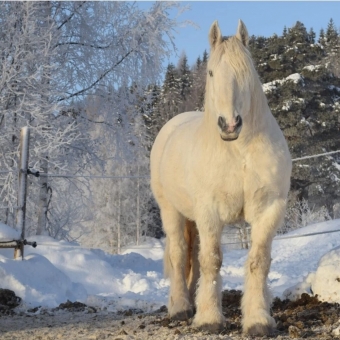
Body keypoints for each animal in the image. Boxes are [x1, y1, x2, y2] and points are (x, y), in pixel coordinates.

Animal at [150, 19, 290, 336]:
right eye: (212, 72)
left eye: (245, 72)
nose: (229, 124)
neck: (239, 151)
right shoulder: (210, 212)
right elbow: (212, 260)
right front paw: (210, 319)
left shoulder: (269, 210)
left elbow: (258, 261)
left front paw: (258, 320)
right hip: (171, 211)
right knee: (179, 254)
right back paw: (181, 307)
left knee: (192, 256)